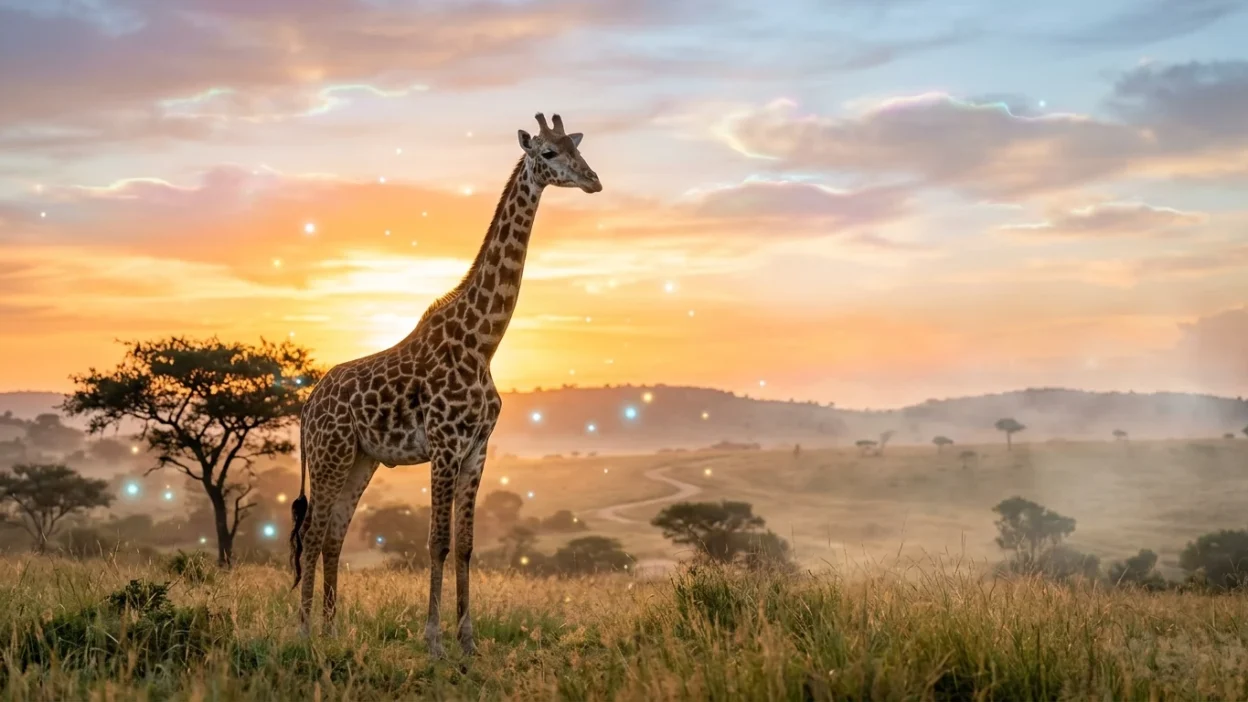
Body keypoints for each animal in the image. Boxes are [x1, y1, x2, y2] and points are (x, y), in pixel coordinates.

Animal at [289, 113, 601, 656]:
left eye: (576, 148)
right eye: (547, 152)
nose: (593, 180)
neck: (482, 343)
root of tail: (308, 405)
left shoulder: (477, 448)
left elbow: (467, 545)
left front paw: (468, 641)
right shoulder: (444, 444)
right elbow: (436, 540)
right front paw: (433, 640)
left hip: (361, 459)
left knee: (332, 534)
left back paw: (331, 631)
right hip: (330, 455)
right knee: (310, 533)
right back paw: (306, 632)